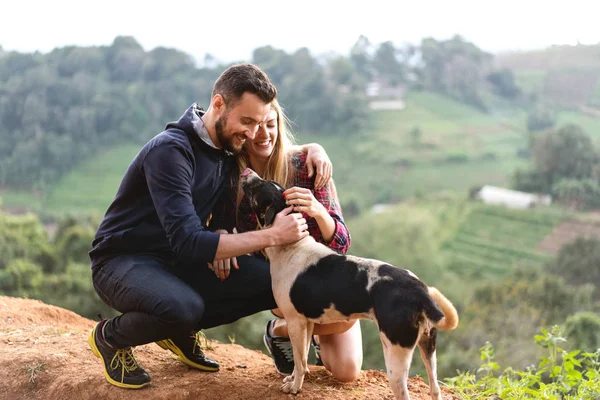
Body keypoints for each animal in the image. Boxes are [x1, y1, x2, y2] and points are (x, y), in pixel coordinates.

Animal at [239, 169, 460, 400]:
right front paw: (293, 380)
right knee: (435, 389)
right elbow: (303, 359)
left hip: (395, 356)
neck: (293, 245)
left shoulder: (295, 321)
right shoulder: (306, 323)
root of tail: (419, 291)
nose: (246, 172)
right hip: (428, 347)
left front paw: (294, 387)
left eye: (258, 187)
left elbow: (300, 362)